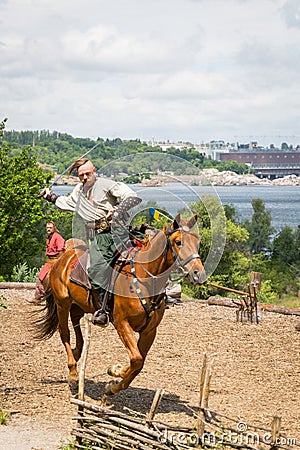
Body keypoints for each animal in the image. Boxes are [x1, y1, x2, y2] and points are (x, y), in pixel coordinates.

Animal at [33, 214, 206, 398]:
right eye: (178, 242)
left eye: (197, 241)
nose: (198, 274)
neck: (143, 278)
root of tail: (62, 259)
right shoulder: (122, 324)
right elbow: (136, 359)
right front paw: (115, 372)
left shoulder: (149, 331)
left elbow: (138, 363)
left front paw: (114, 381)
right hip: (62, 303)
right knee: (64, 333)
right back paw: (73, 374)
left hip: (79, 305)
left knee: (76, 324)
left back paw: (78, 351)